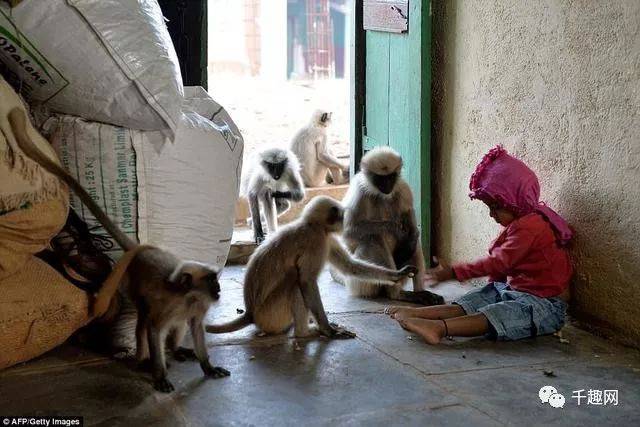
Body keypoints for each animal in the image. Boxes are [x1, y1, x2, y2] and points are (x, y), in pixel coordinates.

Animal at [8, 108, 230, 394]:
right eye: (212, 281)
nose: (218, 290)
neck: (187, 297)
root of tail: (139, 251)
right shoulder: (169, 303)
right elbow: (154, 329)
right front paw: (159, 374)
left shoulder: (197, 306)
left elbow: (196, 328)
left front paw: (208, 366)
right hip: (135, 288)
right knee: (143, 321)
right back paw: (144, 361)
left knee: (177, 325)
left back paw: (176, 350)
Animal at [206, 196, 416, 340]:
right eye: (341, 216)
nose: (344, 221)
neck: (311, 225)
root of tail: (251, 314)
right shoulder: (317, 241)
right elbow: (307, 281)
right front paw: (328, 330)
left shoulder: (327, 238)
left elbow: (350, 267)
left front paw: (398, 275)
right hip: (270, 315)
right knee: (295, 280)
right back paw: (304, 333)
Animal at [330, 147, 444, 308]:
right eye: (380, 179)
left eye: (390, 177)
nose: (387, 185)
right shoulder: (359, 191)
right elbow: (348, 233)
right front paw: (393, 227)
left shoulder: (402, 187)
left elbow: (412, 225)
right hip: (359, 283)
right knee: (373, 238)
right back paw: (396, 294)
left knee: (413, 240)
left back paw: (419, 293)